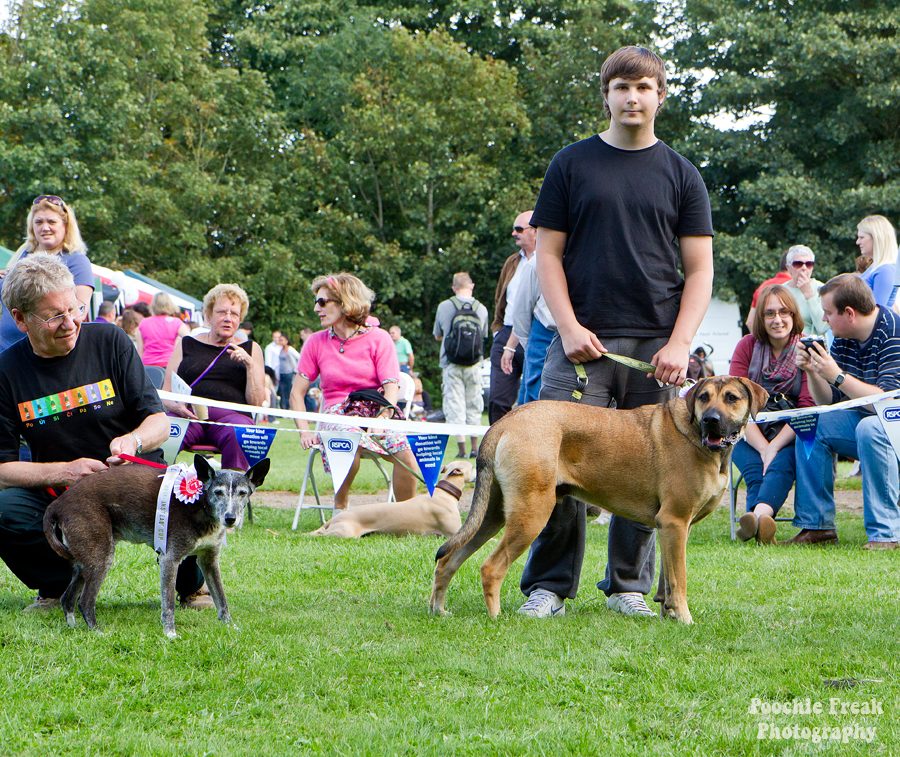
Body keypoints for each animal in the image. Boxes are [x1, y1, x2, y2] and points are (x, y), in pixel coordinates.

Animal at [43, 454, 268, 636]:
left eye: (242, 493)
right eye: (218, 492)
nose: (230, 518)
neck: (200, 504)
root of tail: (58, 503)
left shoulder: (209, 562)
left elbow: (222, 600)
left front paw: (230, 627)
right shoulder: (170, 560)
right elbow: (168, 604)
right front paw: (170, 634)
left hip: (85, 563)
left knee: (67, 599)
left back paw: (74, 629)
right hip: (100, 559)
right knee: (85, 602)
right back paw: (98, 633)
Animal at [428, 376, 768, 624]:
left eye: (732, 398)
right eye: (703, 397)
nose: (711, 420)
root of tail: (504, 422)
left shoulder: (672, 529)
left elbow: (668, 581)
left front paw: (668, 614)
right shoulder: (674, 522)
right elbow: (679, 580)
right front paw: (684, 619)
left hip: (492, 515)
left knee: (448, 560)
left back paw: (439, 610)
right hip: (531, 513)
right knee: (491, 567)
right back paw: (497, 618)